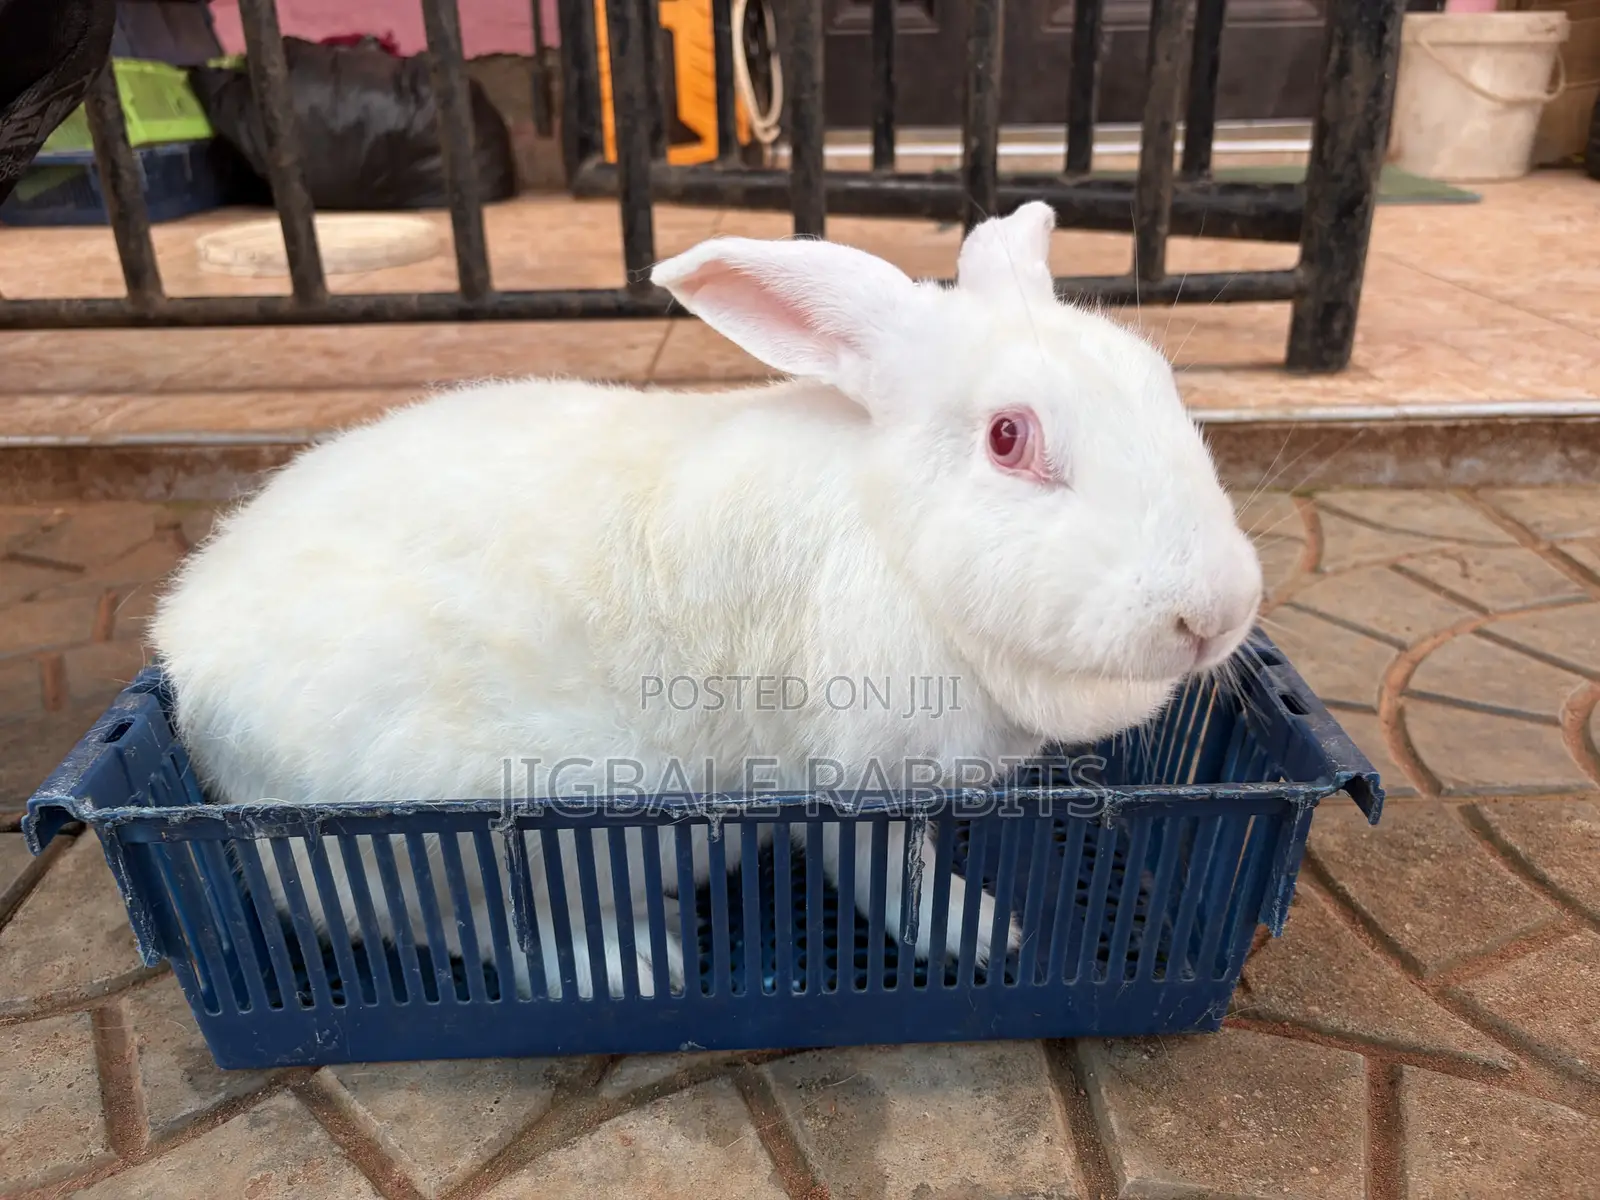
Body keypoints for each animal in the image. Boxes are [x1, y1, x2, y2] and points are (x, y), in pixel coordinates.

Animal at [149, 200, 1263, 1003]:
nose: (1212, 614)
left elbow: (890, 874)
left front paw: (977, 928)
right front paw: (982, 937)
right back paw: (625, 965)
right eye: (1007, 438)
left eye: (1159, 381)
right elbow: (881, 871)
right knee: (465, 927)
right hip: (429, 837)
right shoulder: (856, 777)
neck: (892, 538)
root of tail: (182, 650)